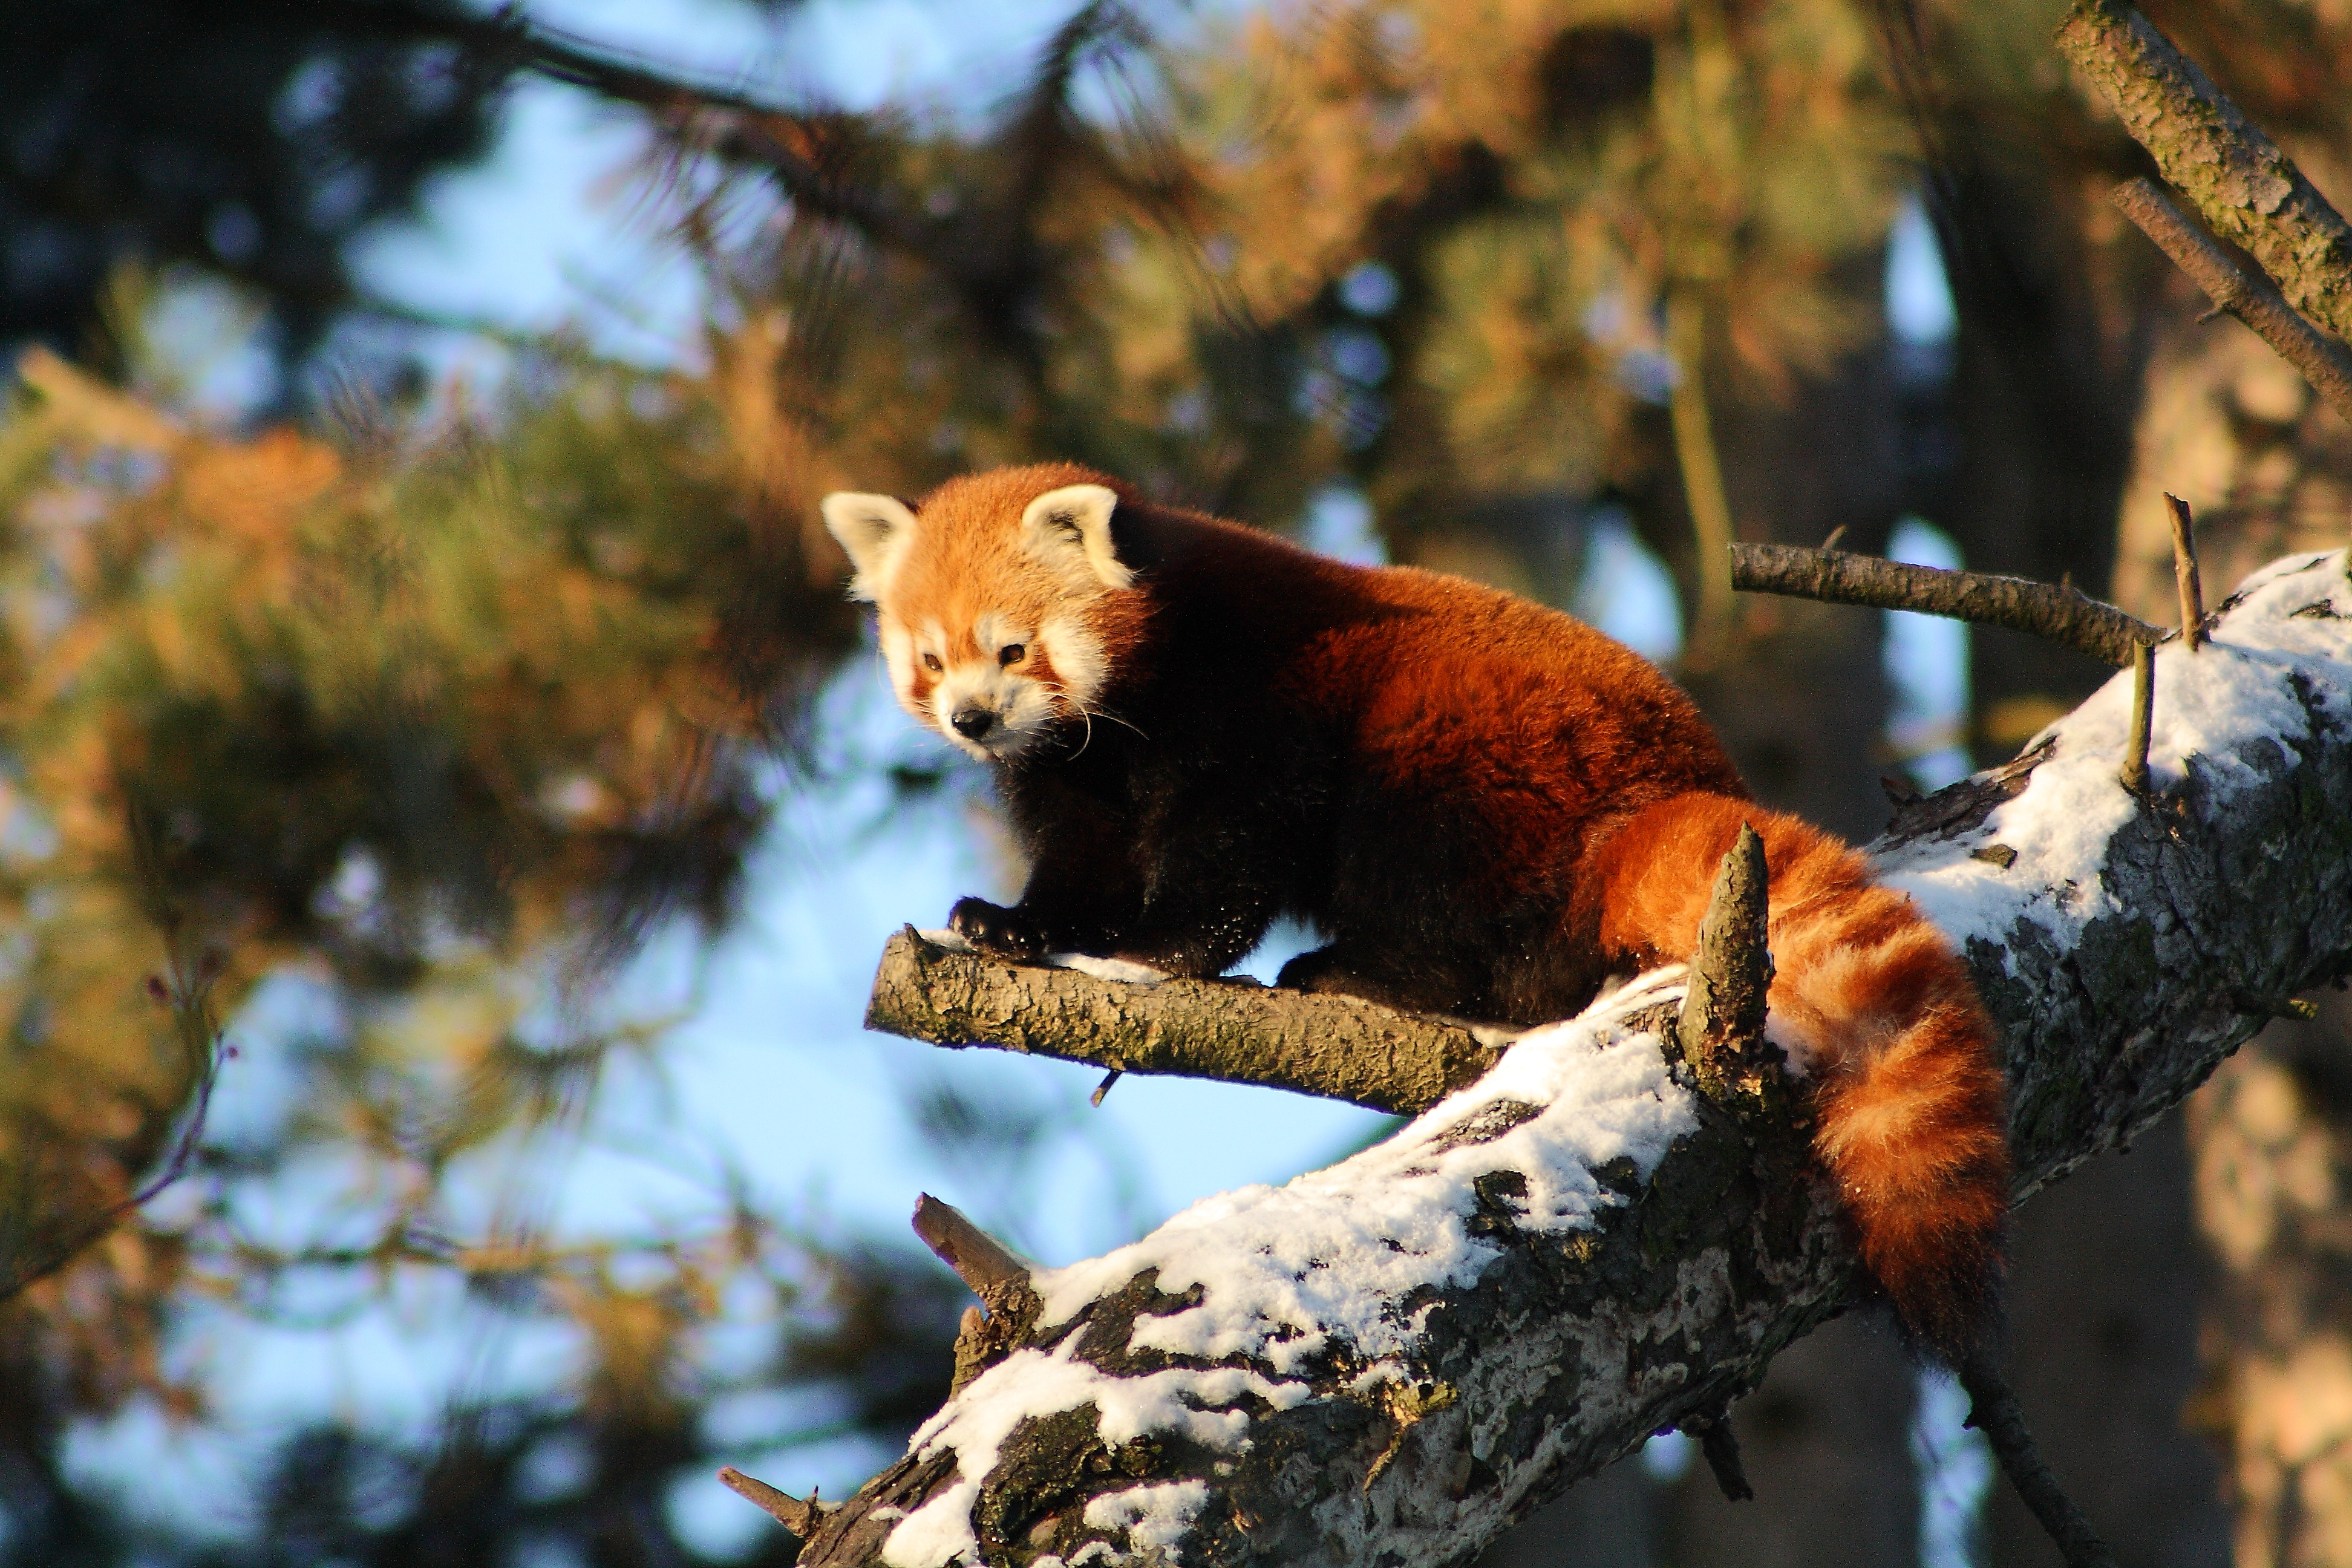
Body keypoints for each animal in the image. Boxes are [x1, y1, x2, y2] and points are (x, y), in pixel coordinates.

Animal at [823, 460, 2004, 1354]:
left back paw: (1365, 971)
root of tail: (1667, 786)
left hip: (1463, 757)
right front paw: (1019, 927)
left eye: (1012, 646)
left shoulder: (1254, 701)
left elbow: (1235, 849)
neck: (1136, 694)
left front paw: (1169, 951)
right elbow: (1082, 868)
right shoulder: (1077, 776)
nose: (973, 718)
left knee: (1463, 907)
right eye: (929, 659)